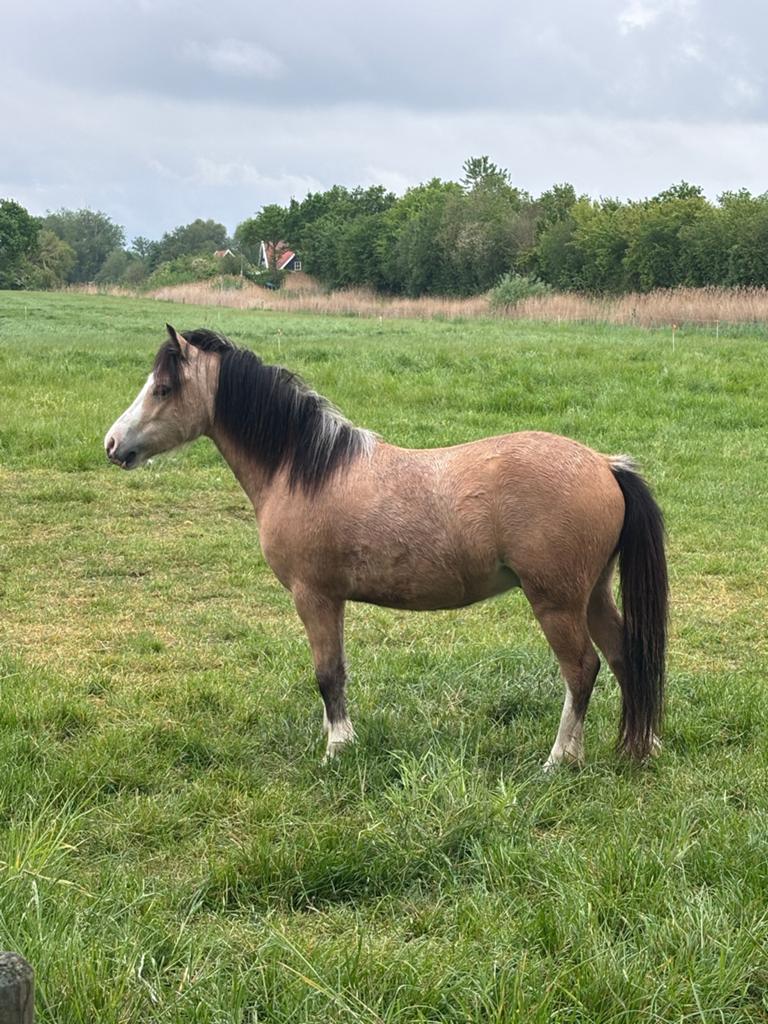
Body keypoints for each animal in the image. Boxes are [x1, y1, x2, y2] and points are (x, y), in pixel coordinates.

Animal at [105, 324, 668, 767]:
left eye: (162, 388)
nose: (112, 445)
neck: (304, 469)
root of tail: (605, 466)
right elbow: (335, 674)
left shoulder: (314, 597)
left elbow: (328, 675)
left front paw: (337, 748)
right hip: (592, 595)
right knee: (626, 657)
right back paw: (640, 746)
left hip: (556, 603)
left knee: (582, 670)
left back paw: (559, 759)